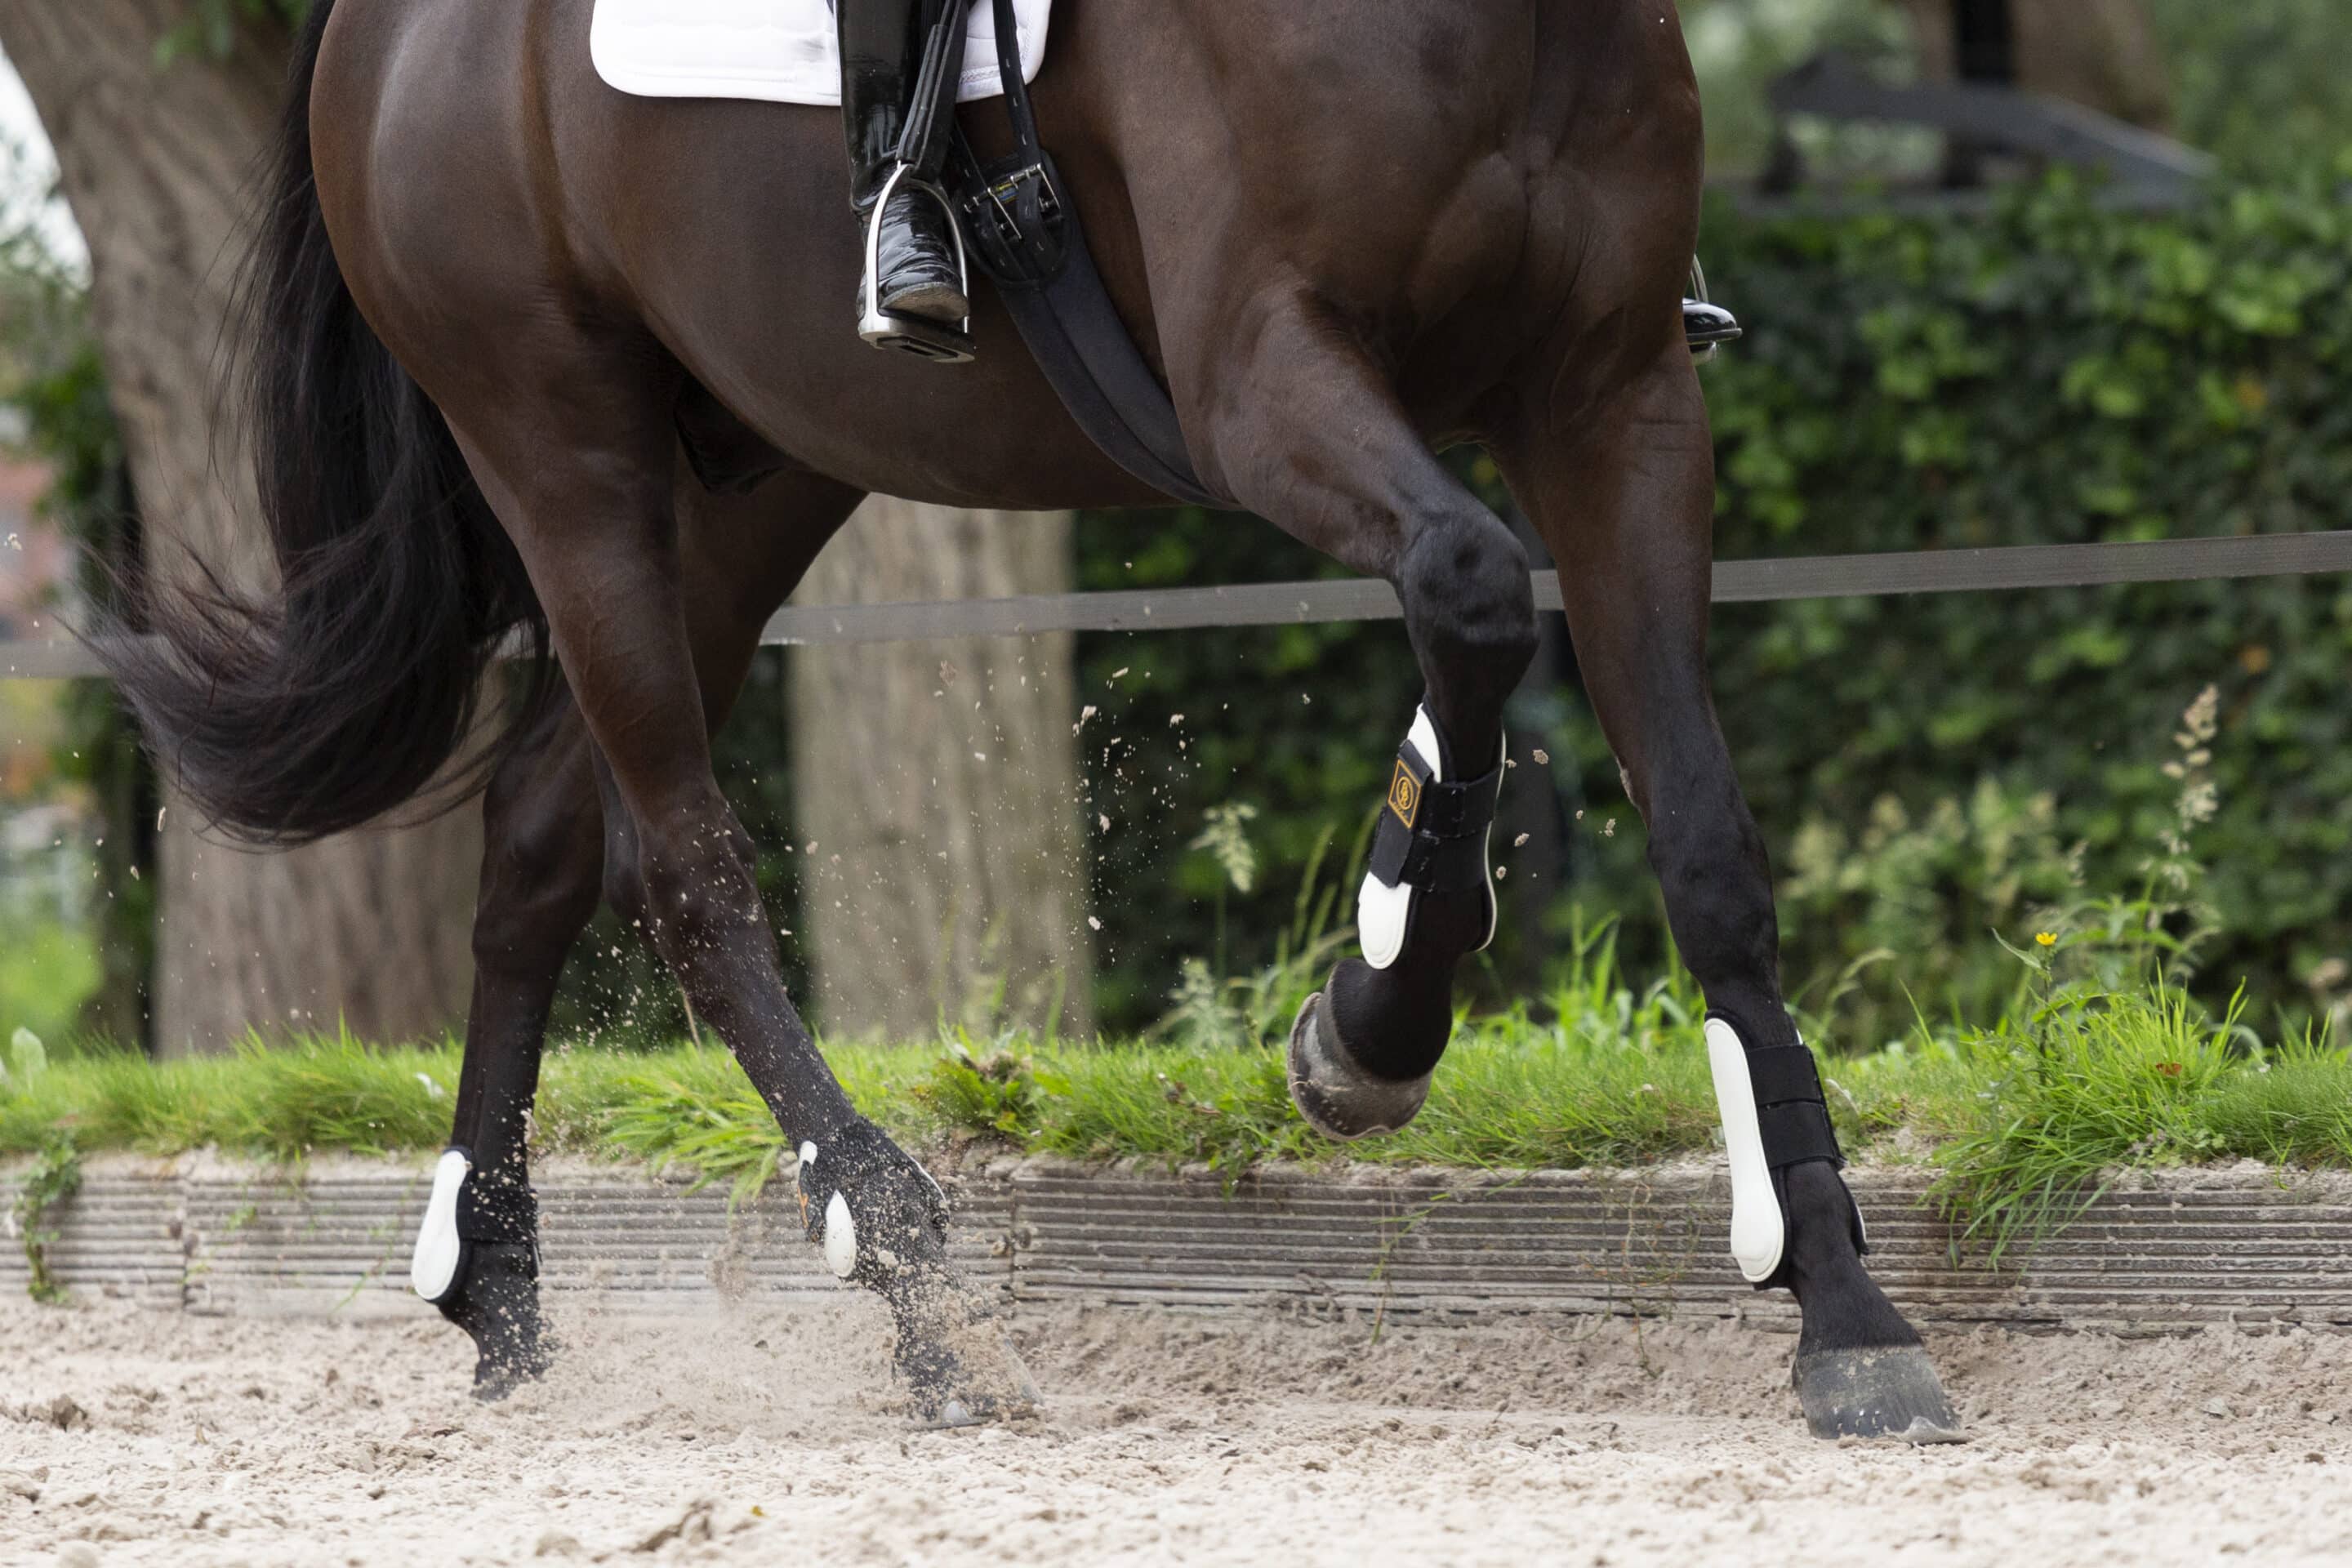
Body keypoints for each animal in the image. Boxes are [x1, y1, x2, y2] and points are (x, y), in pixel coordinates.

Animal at [100, 0, 1957, 1438]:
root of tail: (379, 26)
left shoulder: (1620, 399)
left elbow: (1702, 838)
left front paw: (1843, 1309)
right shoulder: (1256, 379)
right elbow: (1475, 583)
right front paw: (1372, 1022)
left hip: (759, 470)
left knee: (547, 835)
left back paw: (493, 1283)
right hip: (561, 450)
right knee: (684, 871)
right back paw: (917, 1291)